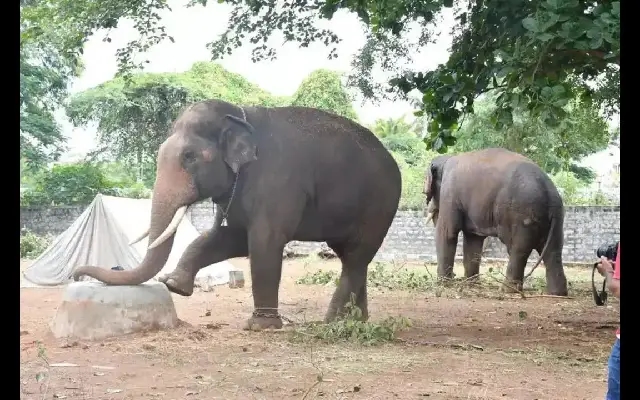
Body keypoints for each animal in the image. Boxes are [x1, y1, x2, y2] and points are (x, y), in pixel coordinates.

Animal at [73, 99, 402, 330]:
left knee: (357, 256)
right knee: (352, 257)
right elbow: (230, 238)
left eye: (189, 157)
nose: (76, 274)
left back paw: (332, 322)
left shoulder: (276, 180)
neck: (240, 116)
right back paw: (355, 321)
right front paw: (175, 285)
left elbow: (264, 241)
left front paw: (260, 326)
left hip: (381, 205)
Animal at [423, 148, 568, 296]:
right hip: (556, 218)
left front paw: (443, 284)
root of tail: (549, 193)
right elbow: (473, 240)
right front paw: (471, 283)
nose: (454, 276)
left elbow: (447, 232)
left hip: (522, 214)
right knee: (553, 250)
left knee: (519, 249)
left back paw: (507, 290)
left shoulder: (450, 192)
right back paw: (557, 293)